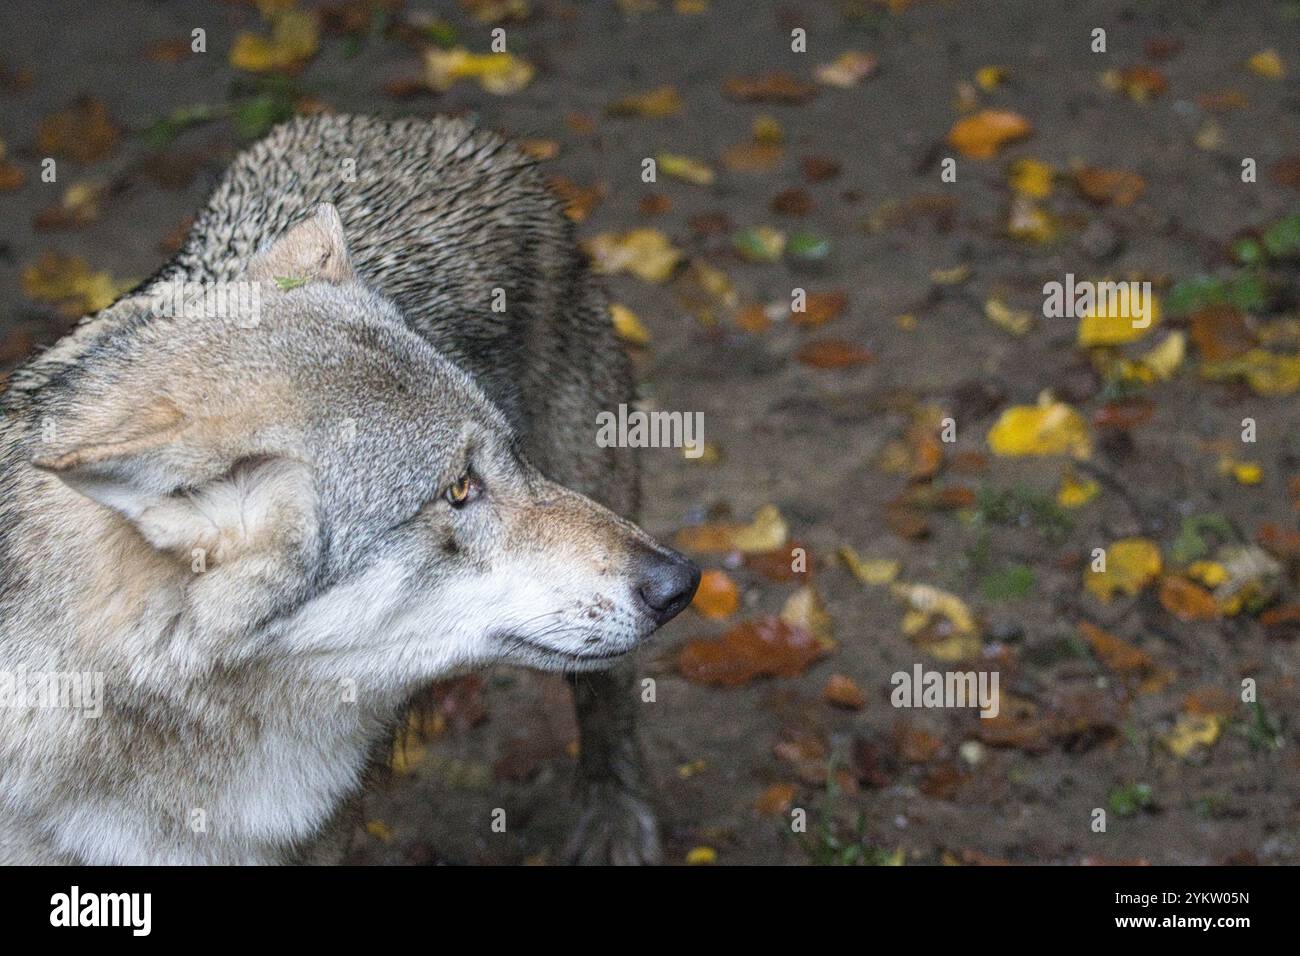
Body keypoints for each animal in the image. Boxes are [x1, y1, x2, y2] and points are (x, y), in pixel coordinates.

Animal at [0, 113, 702, 868]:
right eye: (459, 489)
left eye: (505, 455)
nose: (680, 581)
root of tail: (411, 126)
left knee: (611, 699)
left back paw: (615, 820)